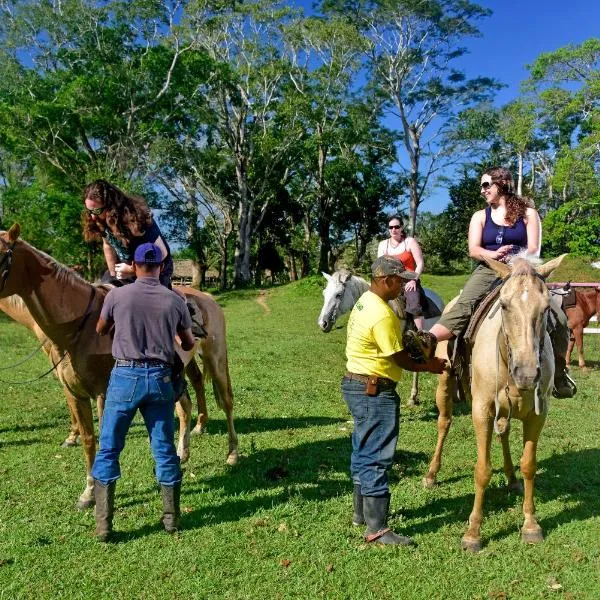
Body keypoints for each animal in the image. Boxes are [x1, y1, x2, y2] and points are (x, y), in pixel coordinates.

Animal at [0, 223, 239, 508]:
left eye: (1, 256)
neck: (80, 329)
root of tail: (207, 298)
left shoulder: (104, 394)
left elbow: (106, 439)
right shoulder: (75, 394)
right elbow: (89, 440)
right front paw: (89, 492)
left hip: (215, 357)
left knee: (226, 401)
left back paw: (232, 454)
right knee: (185, 406)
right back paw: (182, 454)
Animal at [420, 255, 564, 552]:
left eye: (546, 308)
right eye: (504, 305)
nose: (527, 374)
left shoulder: (538, 413)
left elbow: (529, 465)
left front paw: (531, 525)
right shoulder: (481, 410)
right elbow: (482, 470)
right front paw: (473, 533)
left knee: (504, 433)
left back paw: (511, 479)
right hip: (445, 383)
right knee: (444, 423)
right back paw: (431, 474)